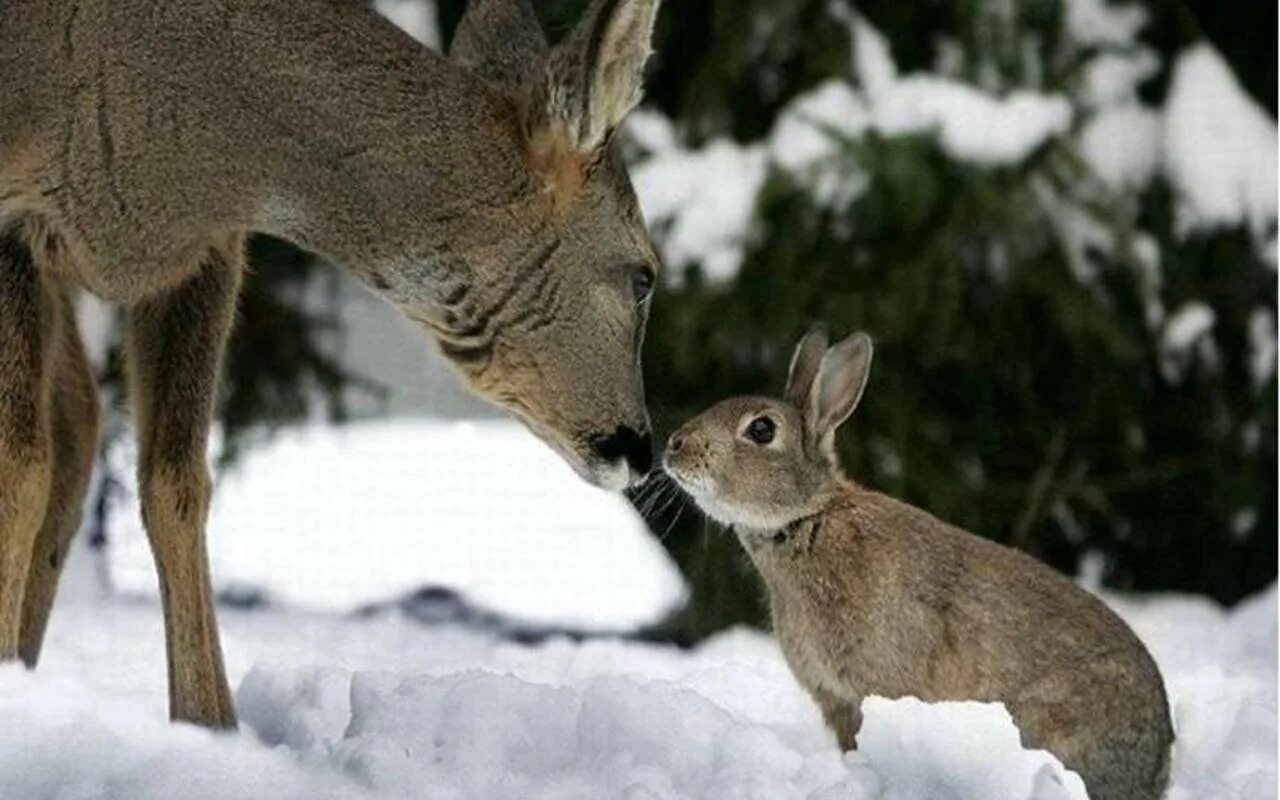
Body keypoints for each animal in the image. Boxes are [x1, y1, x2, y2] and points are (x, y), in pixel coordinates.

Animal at [2, 0, 670, 727]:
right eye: (644, 275)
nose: (640, 446)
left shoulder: (206, 252)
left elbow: (175, 484)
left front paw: (211, 725)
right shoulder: (16, 217)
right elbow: (20, 470)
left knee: (79, 427)